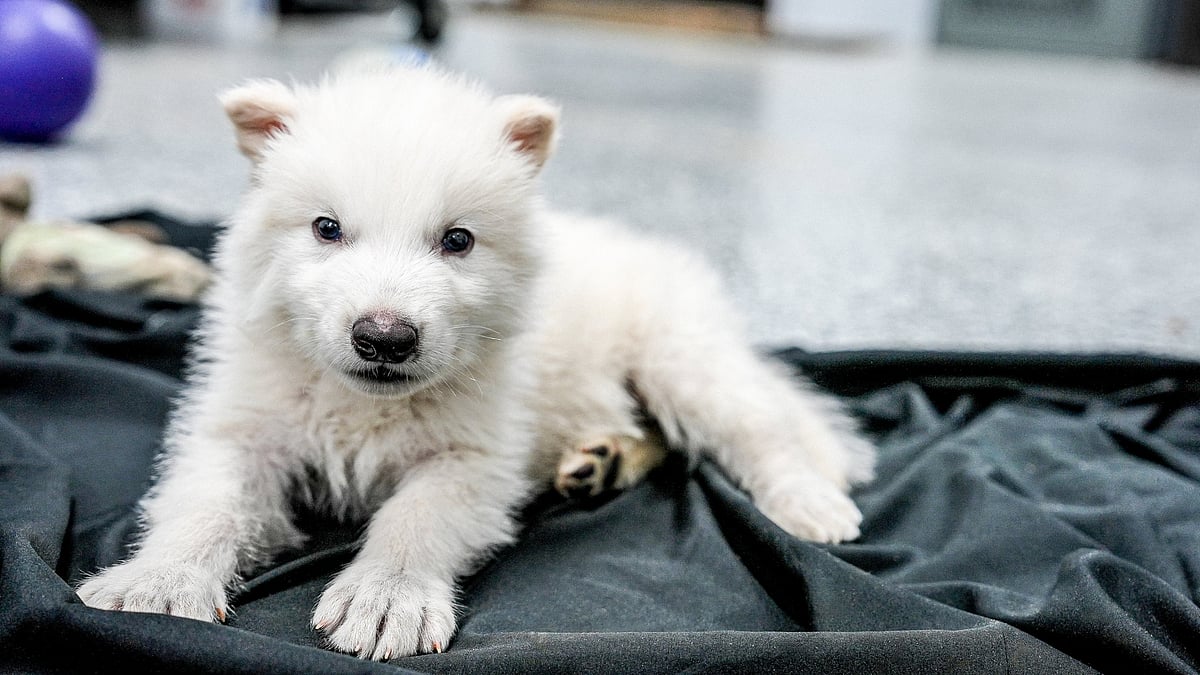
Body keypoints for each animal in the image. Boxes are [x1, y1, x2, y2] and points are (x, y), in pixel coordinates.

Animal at [77, 66, 874, 661]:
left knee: (757, 425)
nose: (385, 337)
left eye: (457, 240)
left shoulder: (477, 453)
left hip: (682, 352)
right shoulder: (245, 424)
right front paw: (158, 584)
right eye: (326, 228)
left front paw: (385, 599)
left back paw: (809, 502)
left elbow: (417, 515)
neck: (362, 403)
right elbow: (208, 501)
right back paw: (602, 458)